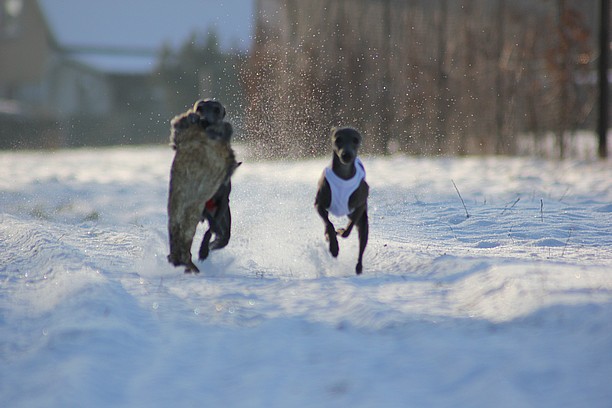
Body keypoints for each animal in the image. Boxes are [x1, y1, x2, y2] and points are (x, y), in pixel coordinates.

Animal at [316, 127, 368, 274]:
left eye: (355, 140)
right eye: (338, 139)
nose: (346, 155)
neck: (343, 175)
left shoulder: (361, 204)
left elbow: (347, 230)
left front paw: (341, 231)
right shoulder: (319, 204)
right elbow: (329, 224)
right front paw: (333, 246)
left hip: (363, 222)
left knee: (361, 245)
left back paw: (359, 267)